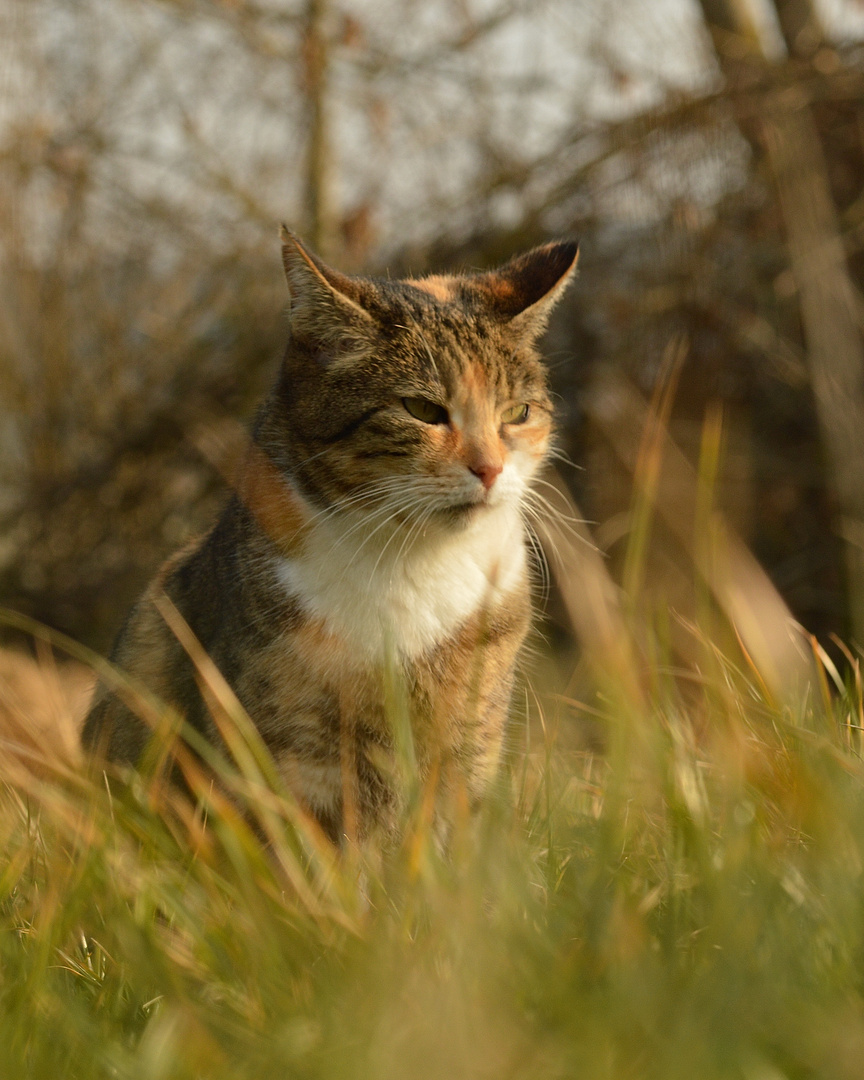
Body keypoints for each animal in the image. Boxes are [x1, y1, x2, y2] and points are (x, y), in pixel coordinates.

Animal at [82, 230, 578, 842]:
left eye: (517, 412)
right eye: (421, 408)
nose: (490, 469)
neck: (412, 562)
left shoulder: (470, 739)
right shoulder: (286, 748)